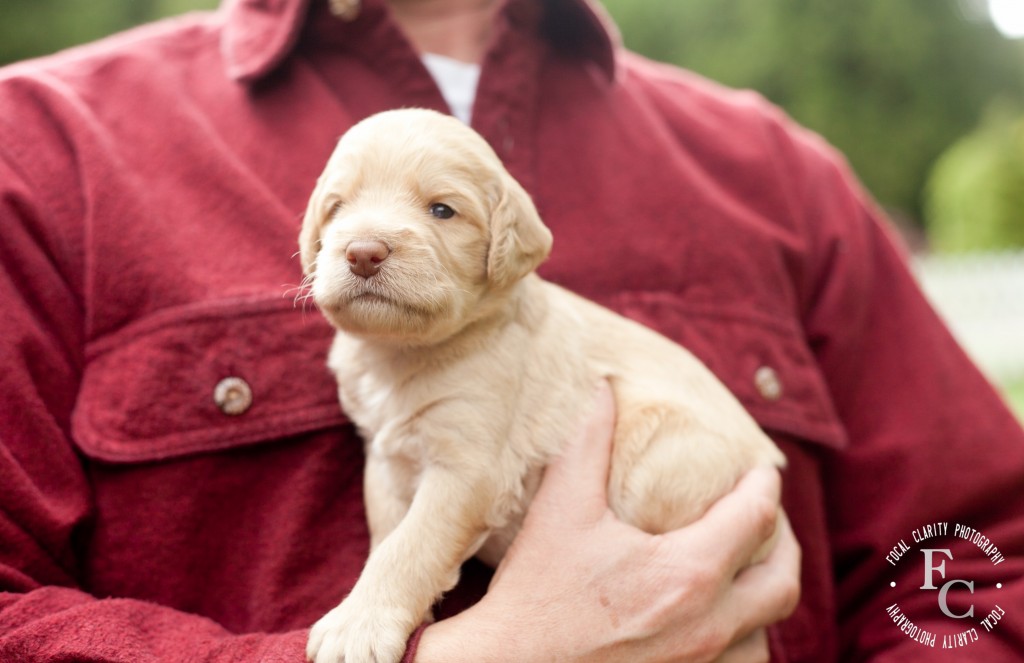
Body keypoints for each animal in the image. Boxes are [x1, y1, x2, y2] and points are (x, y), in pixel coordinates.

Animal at [299, 109, 782, 663]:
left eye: (442, 210)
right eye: (337, 208)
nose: (362, 253)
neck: (401, 354)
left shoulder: (470, 469)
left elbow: (411, 545)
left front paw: (359, 623)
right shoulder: (384, 457)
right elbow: (386, 533)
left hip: (654, 462)